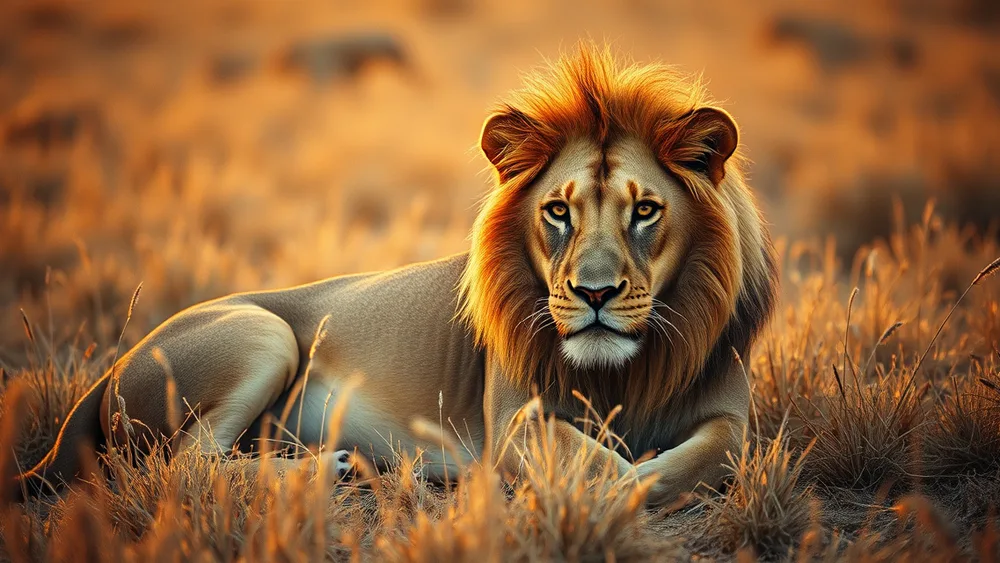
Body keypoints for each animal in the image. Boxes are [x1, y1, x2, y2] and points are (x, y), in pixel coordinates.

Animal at [11, 45, 777, 507]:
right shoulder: (515, 419)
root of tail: (111, 367)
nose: (593, 295)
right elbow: (590, 461)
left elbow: (704, 456)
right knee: (180, 465)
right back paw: (329, 469)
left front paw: (640, 477)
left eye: (645, 210)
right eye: (558, 211)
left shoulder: (732, 417)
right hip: (262, 332)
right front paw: (614, 486)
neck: (631, 369)